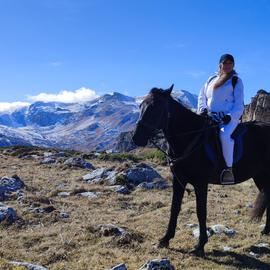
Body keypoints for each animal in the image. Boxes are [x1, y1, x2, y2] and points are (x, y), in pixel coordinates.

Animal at [132, 85, 270, 256]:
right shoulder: (179, 181)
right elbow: (174, 208)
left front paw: (200, 245)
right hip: (260, 176)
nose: (136, 138)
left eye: (155, 107)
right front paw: (165, 239)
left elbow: (201, 211)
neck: (190, 139)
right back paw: (265, 231)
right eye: (141, 105)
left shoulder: (201, 183)